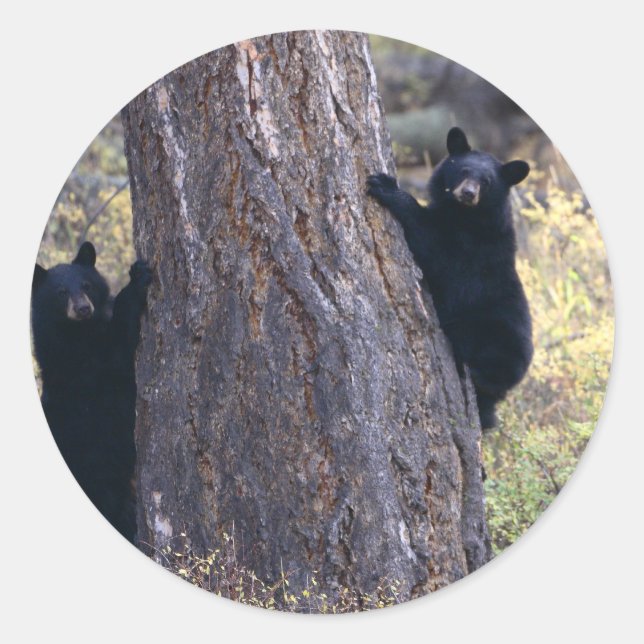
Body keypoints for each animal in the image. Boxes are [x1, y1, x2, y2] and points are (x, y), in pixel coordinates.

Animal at [31, 241, 151, 542]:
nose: (83, 308)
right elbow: (119, 348)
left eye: (86, 285)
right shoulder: (86, 365)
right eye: (61, 292)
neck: (79, 331)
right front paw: (137, 278)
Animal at [367, 126, 533, 429]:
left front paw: (386, 186)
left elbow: (435, 249)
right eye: (464, 170)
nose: (468, 193)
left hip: (493, 335)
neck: (464, 216)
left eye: (487, 182)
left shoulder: (470, 249)